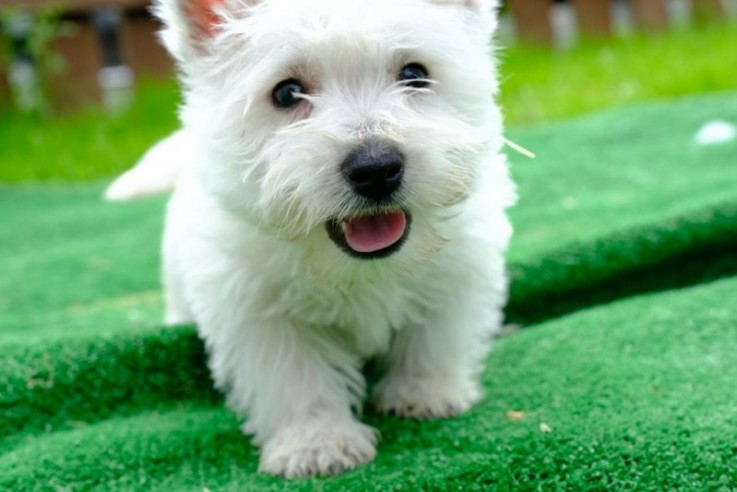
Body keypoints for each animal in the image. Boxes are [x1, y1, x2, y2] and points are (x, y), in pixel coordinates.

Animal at [106, 0, 516, 478]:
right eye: (286, 93)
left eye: (415, 73)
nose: (376, 168)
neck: (359, 269)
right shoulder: (256, 308)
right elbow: (293, 375)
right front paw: (317, 442)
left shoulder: (459, 266)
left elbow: (436, 331)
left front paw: (427, 392)